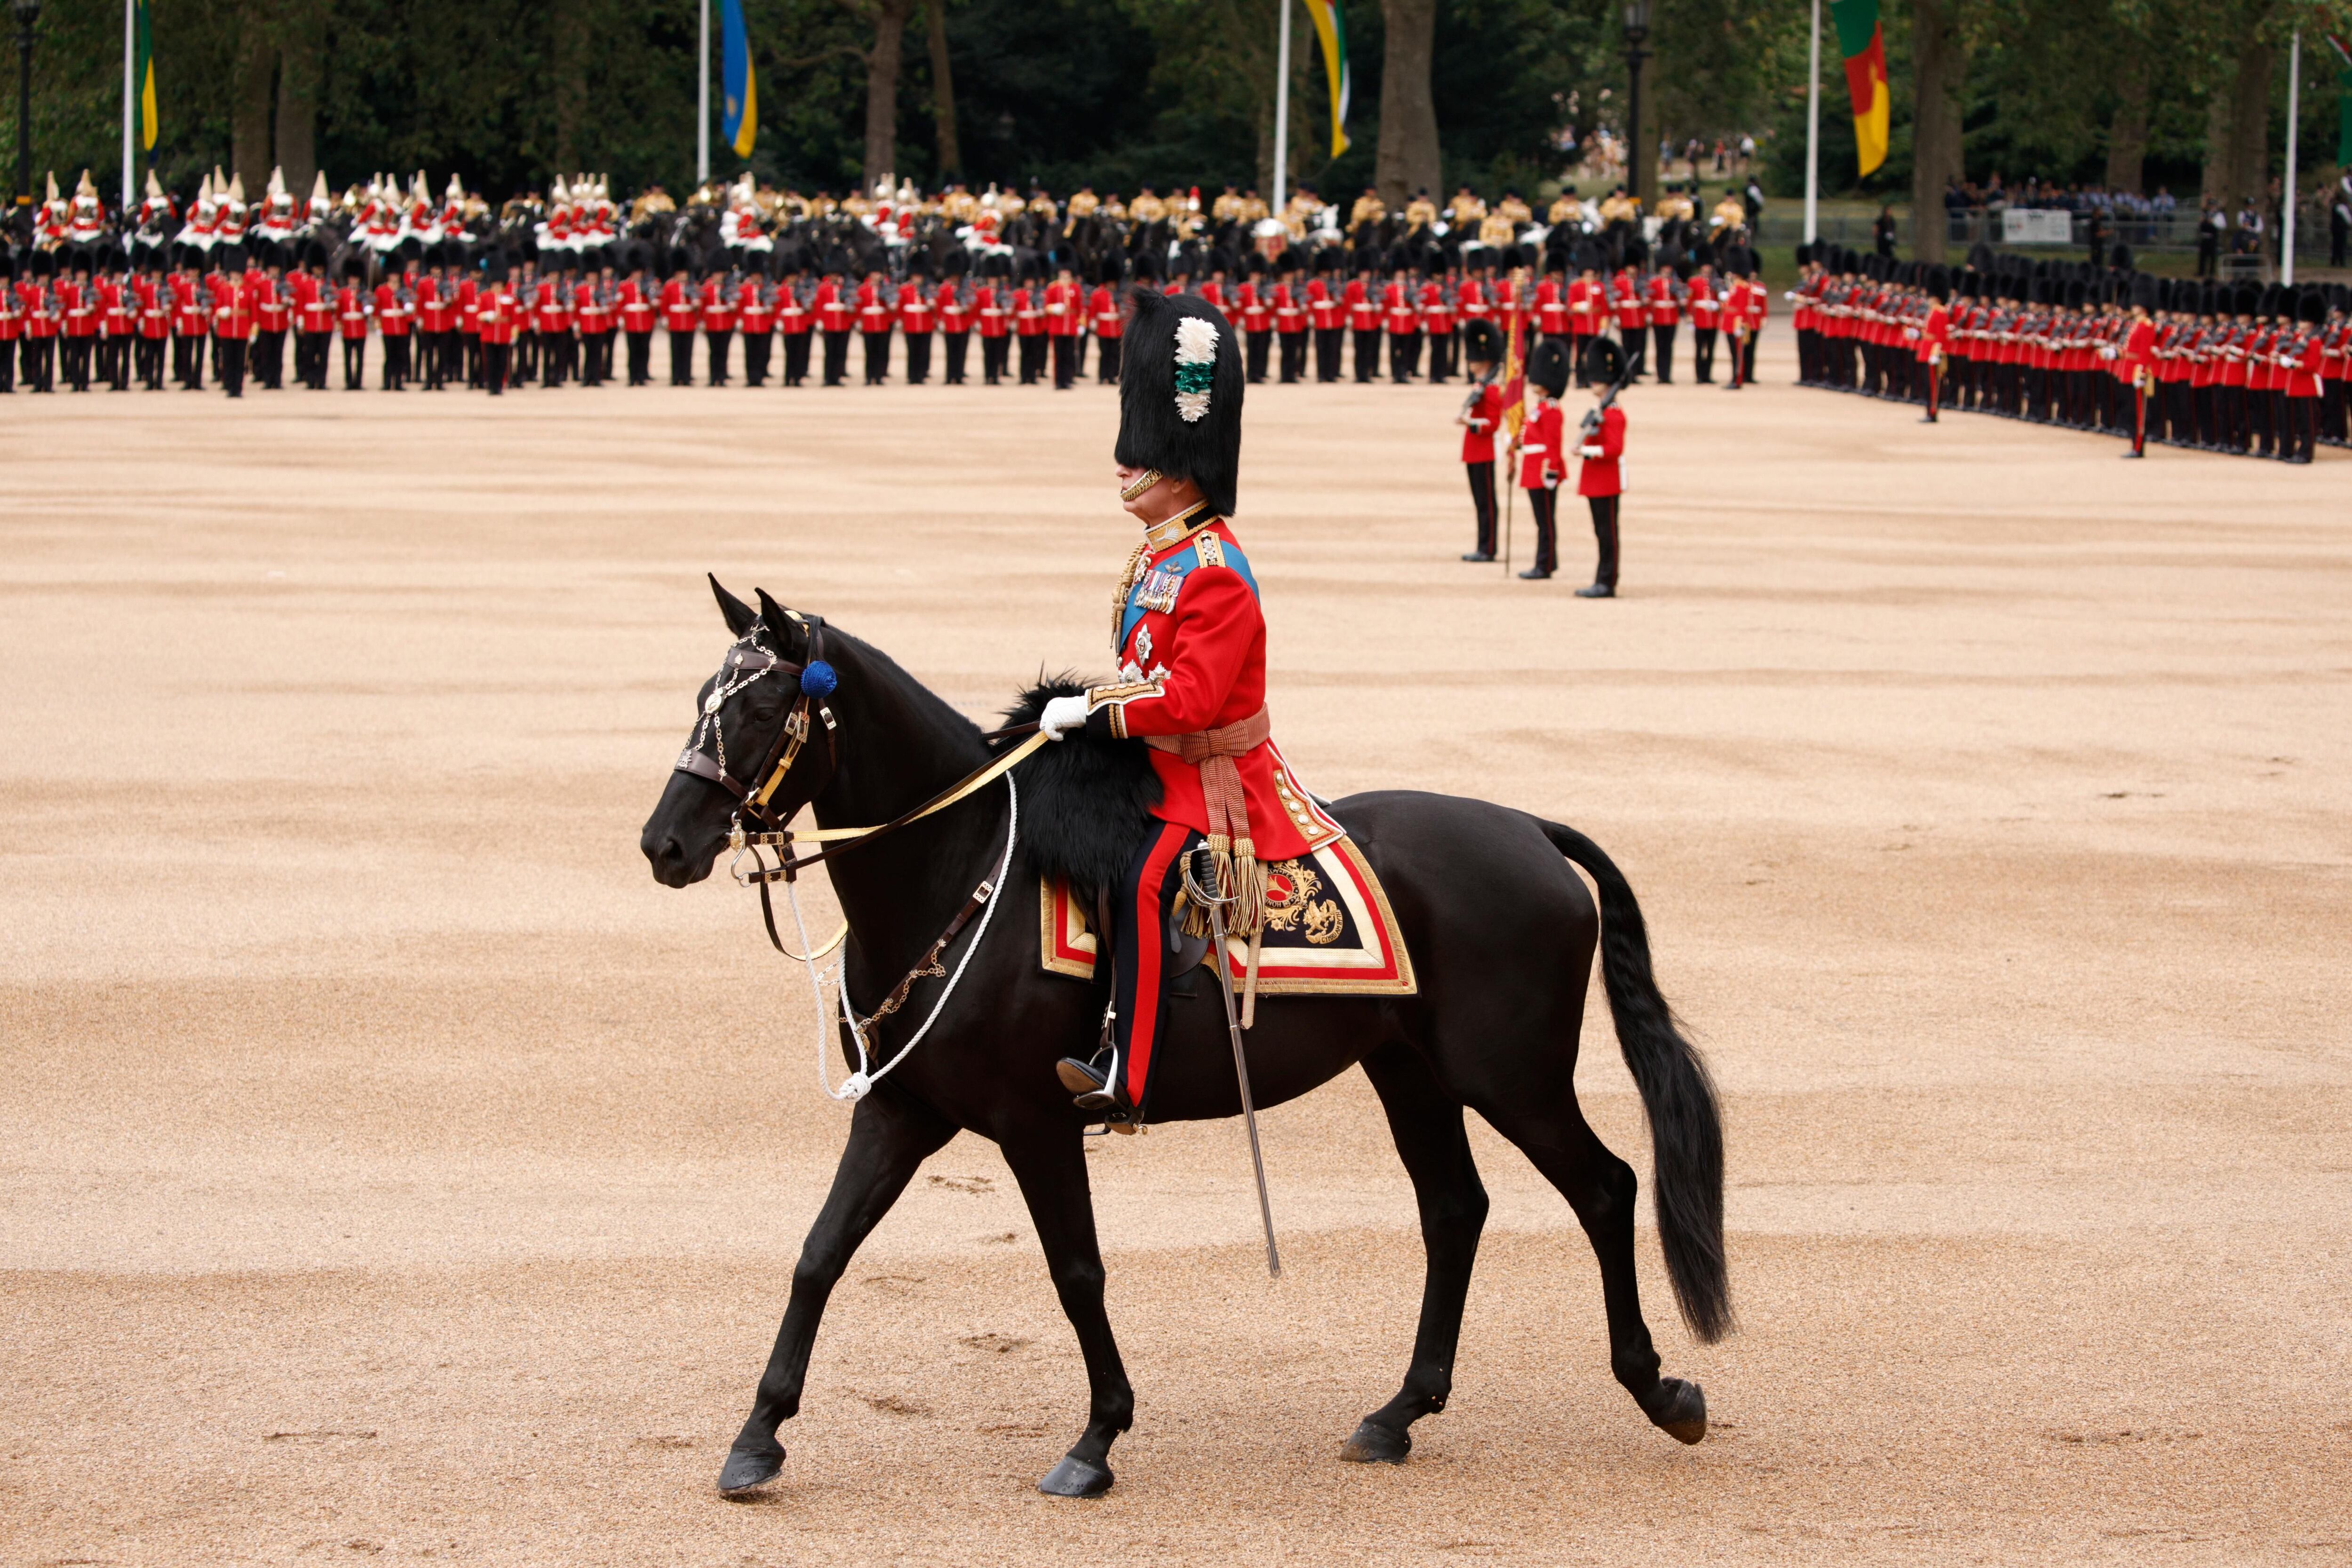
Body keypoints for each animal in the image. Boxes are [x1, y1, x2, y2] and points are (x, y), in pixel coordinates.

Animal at [644, 583, 1731, 1504]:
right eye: (702, 700)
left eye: (760, 709)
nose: (664, 844)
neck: (955, 871)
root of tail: (1531, 829)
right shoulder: (901, 1109)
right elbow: (818, 1253)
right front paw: (758, 1435)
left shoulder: (1035, 1120)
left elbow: (1076, 1271)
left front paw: (1096, 1439)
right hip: (1411, 1070)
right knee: (1455, 1209)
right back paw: (1397, 1413)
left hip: (1510, 1074)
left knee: (1604, 1188)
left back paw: (1659, 1388)